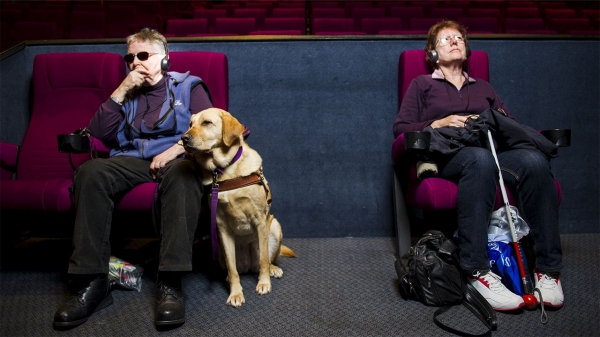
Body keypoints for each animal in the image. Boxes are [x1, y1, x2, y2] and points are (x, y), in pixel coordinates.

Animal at [183, 107, 296, 308]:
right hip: (219, 246)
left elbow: (264, 260)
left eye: (206, 123)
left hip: (274, 227)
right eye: (190, 124)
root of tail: (249, 266)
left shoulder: (260, 221)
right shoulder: (222, 227)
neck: (226, 172)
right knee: (235, 268)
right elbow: (233, 268)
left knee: (267, 260)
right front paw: (235, 293)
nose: (183, 138)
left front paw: (264, 283)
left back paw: (273, 269)